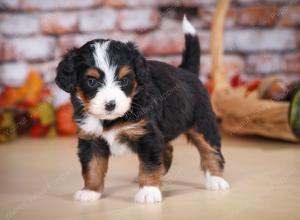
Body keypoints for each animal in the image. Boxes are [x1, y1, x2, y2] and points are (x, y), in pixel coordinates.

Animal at [56, 16, 230, 204]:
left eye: (124, 80)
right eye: (91, 82)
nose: (110, 104)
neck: (111, 119)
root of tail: (186, 71)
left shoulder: (148, 135)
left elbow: (149, 165)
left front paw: (148, 191)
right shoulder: (90, 138)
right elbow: (92, 166)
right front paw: (90, 191)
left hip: (203, 123)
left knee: (210, 149)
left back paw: (217, 180)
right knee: (168, 149)